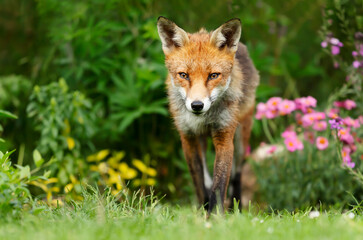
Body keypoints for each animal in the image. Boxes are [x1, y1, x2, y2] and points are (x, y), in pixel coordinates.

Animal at [158, 16, 260, 216]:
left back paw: (236, 209)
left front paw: (214, 216)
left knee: (237, 174)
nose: (197, 105)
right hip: (202, 141)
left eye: (213, 75)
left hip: (241, 139)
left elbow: (219, 183)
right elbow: (199, 181)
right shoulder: (188, 138)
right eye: (184, 75)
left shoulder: (224, 136)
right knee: (206, 178)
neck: (203, 119)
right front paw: (202, 211)